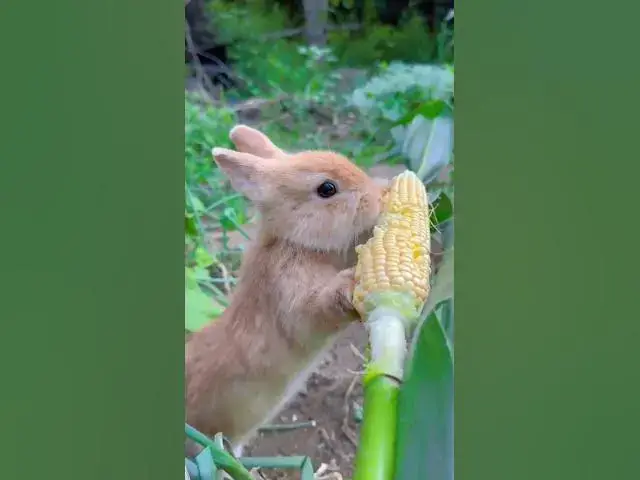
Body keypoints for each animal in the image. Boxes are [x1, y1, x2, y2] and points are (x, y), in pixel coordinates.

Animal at [185, 125, 385, 458]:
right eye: (327, 189)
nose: (378, 196)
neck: (293, 239)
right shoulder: (291, 288)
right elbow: (318, 305)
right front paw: (351, 284)